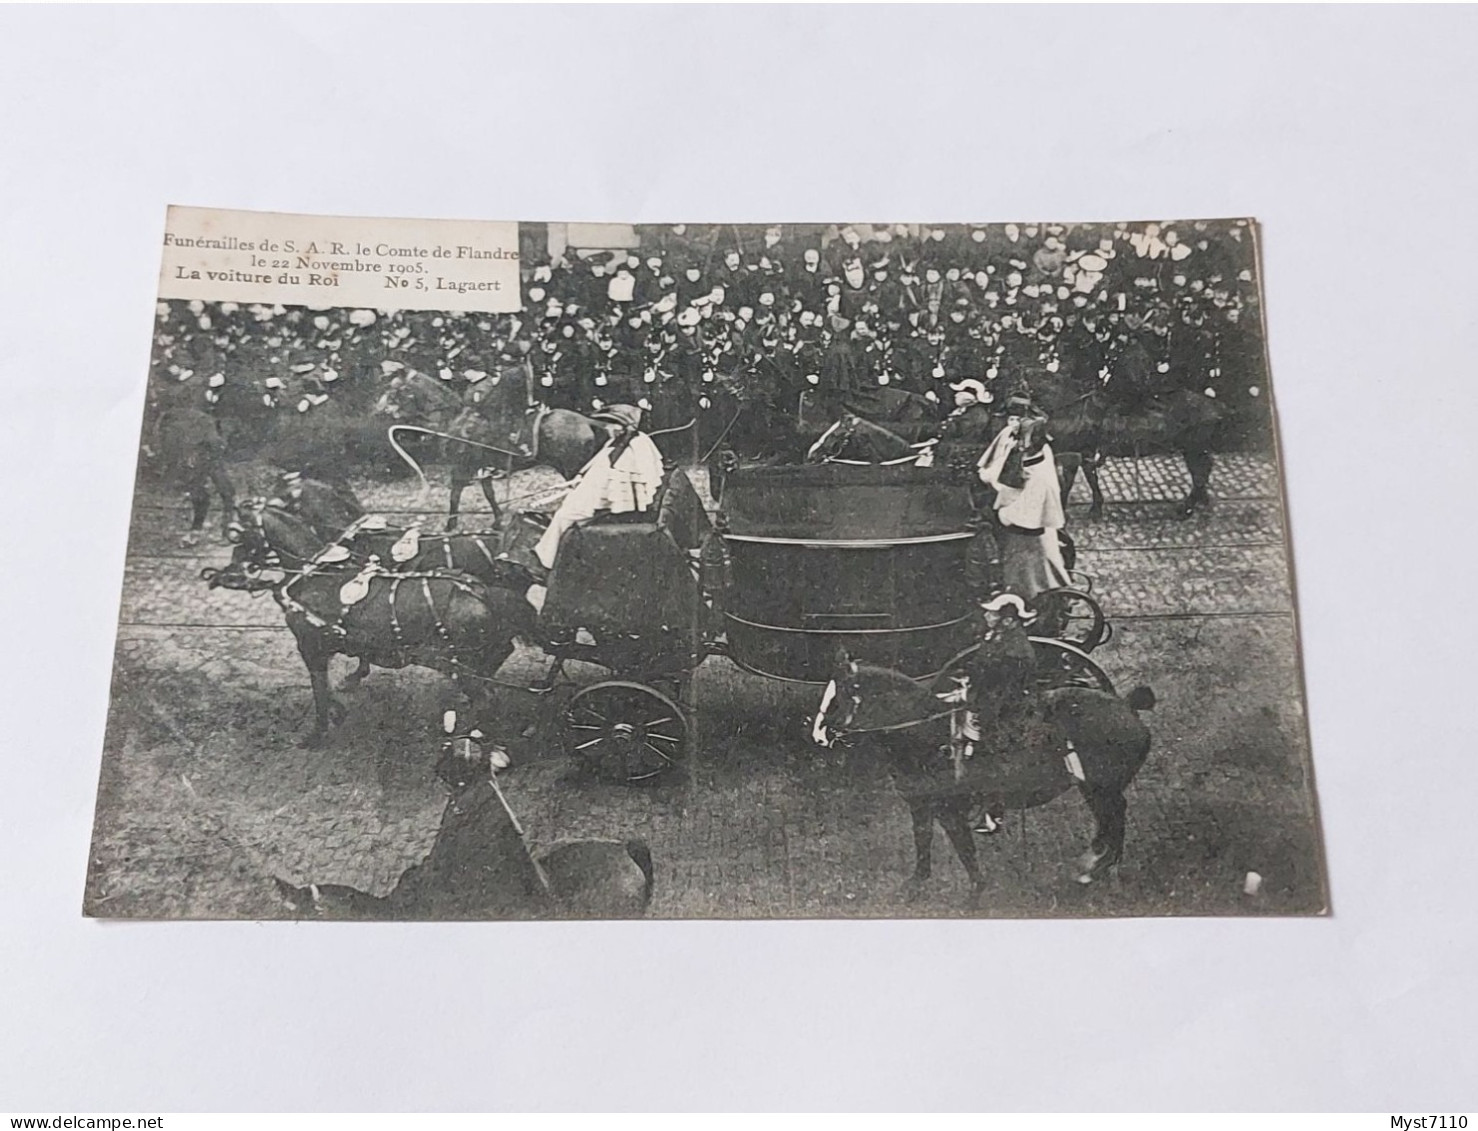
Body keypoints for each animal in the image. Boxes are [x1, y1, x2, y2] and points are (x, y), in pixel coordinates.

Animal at [147, 405, 236, 547]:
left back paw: (189, 536)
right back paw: (225, 535)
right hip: (212, 465)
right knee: (226, 491)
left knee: (202, 497)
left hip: (192, 467)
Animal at [202, 502, 537, 751]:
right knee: (496, 664)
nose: (218, 576)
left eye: (238, 535)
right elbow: (335, 680)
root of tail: (476, 590)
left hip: (454, 663)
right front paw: (341, 705)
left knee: (487, 697)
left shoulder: (309, 646)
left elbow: (319, 689)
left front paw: (318, 732)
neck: (315, 575)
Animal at [375, 368, 605, 532]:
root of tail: (587, 420)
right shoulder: (482, 468)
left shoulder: (462, 467)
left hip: (572, 470)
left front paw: (450, 525)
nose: (378, 411)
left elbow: (455, 496)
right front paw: (497, 521)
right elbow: (489, 494)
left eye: (393, 390)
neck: (454, 419)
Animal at [809, 647, 1152, 904]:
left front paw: (975, 891)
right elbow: (923, 839)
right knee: (1110, 823)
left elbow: (963, 847)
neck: (925, 732)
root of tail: (1127, 706)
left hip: (1099, 789)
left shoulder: (949, 808)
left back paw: (1094, 869)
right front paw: (916, 883)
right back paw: (1098, 865)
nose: (818, 735)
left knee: (1114, 819)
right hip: (1097, 790)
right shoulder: (920, 804)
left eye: (838, 697)